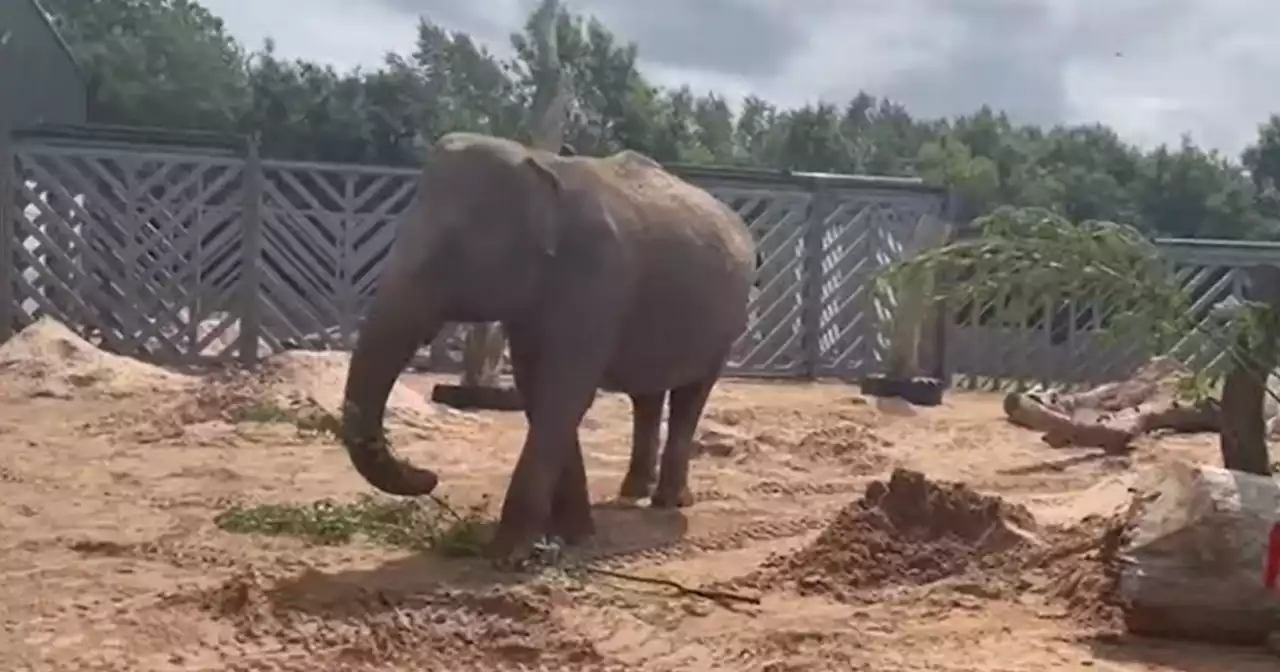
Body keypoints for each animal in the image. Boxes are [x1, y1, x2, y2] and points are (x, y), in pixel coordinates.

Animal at [340, 129, 757, 555]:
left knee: (691, 396)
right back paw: (631, 494)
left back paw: (668, 502)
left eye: (449, 253)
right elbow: (538, 390)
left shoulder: (597, 278)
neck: (543, 166)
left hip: (726, 323)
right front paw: (573, 535)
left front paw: (510, 553)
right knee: (647, 396)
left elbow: (564, 393)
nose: (429, 476)